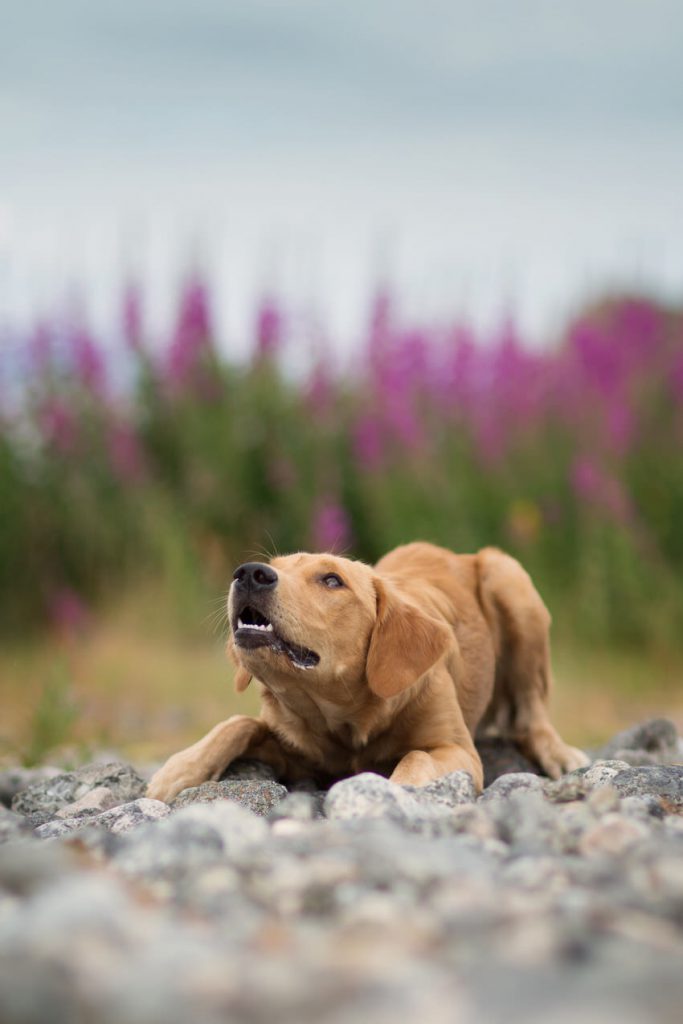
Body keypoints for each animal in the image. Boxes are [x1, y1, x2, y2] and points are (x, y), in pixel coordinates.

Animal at [149, 540, 589, 802]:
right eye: (274, 566)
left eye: (332, 580)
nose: (249, 573)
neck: (343, 715)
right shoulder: (298, 753)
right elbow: (238, 723)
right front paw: (178, 771)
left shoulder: (458, 750)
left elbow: (416, 756)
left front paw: (391, 792)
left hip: (510, 579)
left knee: (530, 714)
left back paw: (560, 753)